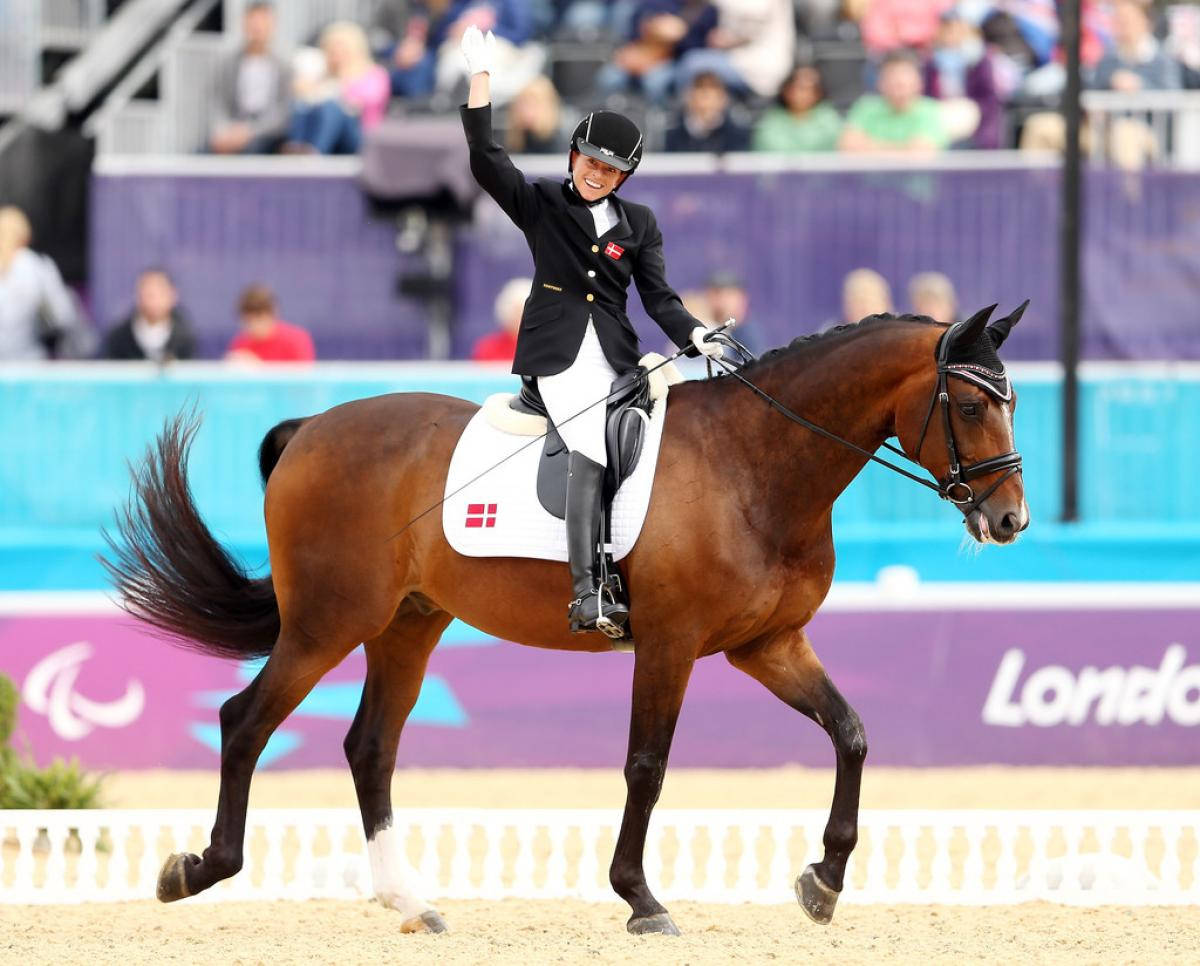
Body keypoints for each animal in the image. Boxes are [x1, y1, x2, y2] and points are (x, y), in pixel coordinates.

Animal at [104, 303, 1028, 936]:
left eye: (1011, 401)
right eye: (971, 407)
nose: (1011, 520)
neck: (758, 466)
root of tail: (312, 430)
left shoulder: (767, 646)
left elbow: (851, 734)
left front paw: (824, 881)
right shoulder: (671, 646)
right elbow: (647, 767)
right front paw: (641, 898)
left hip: (409, 623)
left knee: (370, 746)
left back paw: (410, 902)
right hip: (326, 623)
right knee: (246, 721)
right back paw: (197, 869)